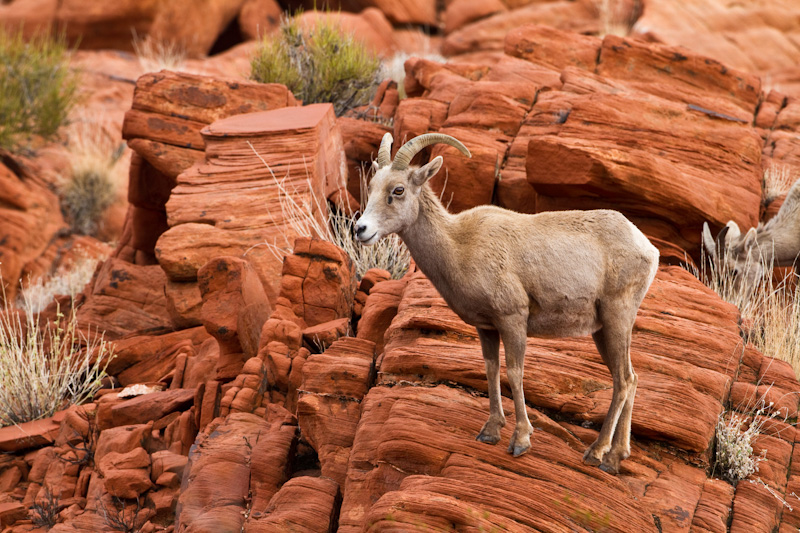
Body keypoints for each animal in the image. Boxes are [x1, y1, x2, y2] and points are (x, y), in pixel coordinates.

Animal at [354, 134, 660, 474]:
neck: (459, 245)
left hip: (617, 318)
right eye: (372, 186)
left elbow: (514, 373)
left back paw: (596, 453)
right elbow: (491, 370)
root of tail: (648, 248)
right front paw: (490, 432)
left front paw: (521, 441)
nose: (361, 229)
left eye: (398, 190)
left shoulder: (513, 318)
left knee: (624, 380)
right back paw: (616, 458)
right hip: (602, 330)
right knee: (629, 378)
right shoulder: (487, 327)